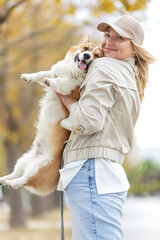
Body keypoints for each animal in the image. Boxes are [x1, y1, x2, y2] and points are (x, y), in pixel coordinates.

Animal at [0, 36, 102, 197]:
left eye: (96, 55)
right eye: (86, 49)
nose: (87, 56)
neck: (71, 70)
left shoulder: (70, 88)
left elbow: (61, 82)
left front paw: (51, 81)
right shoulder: (52, 72)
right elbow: (41, 73)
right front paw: (28, 76)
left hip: (40, 168)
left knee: (24, 180)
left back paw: (12, 183)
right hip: (22, 160)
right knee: (16, 173)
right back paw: (3, 179)